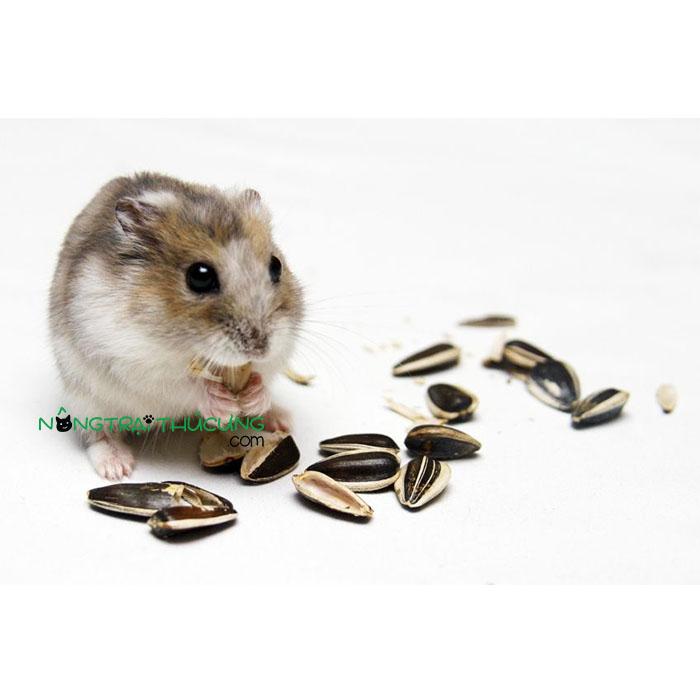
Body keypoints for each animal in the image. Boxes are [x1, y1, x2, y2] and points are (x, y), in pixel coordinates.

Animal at [49, 172, 304, 480]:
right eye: (200, 276)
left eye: (276, 265)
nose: (259, 348)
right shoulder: (135, 362)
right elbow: (186, 386)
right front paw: (222, 405)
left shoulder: (281, 346)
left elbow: (263, 375)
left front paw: (254, 395)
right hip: (86, 401)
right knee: (97, 435)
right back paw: (118, 468)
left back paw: (282, 421)